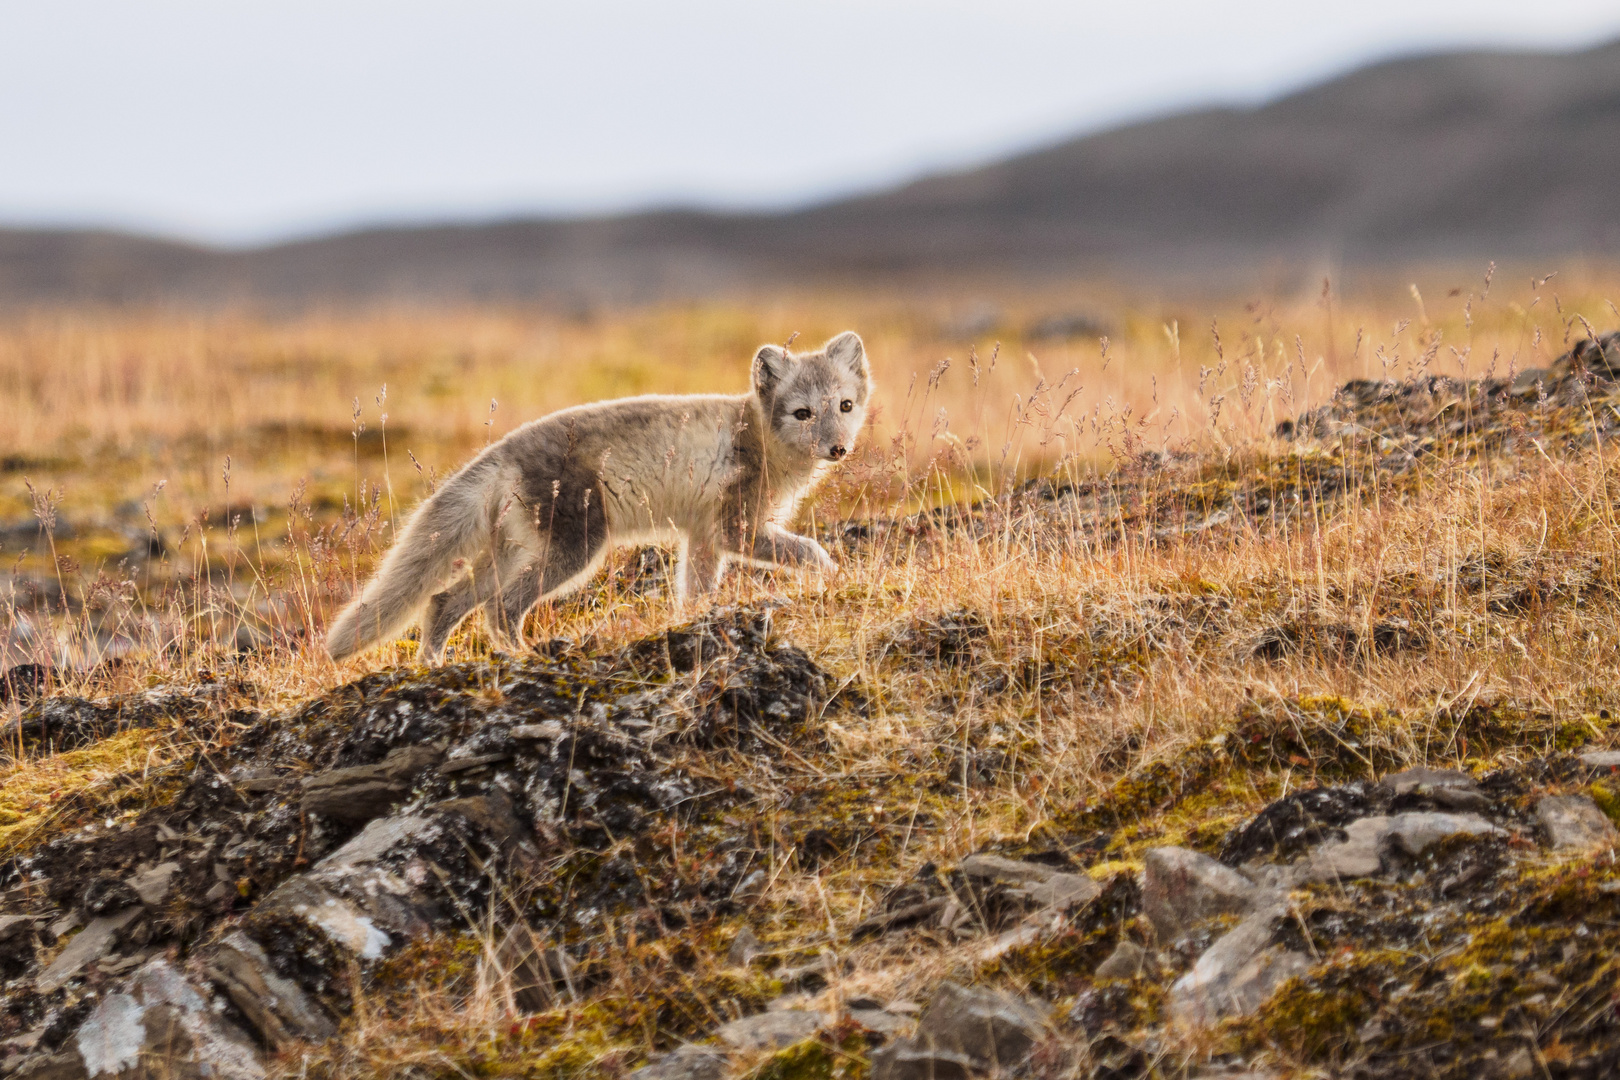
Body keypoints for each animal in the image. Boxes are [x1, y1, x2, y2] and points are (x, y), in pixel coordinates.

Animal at [320, 333, 868, 663]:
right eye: (802, 413)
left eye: (844, 406)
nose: (838, 448)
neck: (758, 436)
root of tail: (502, 453)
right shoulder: (737, 527)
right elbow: (808, 549)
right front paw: (835, 576)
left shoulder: (703, 535)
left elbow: (695, 589)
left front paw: (693, 623)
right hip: (575, 548)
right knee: (499, 607)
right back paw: (523, 656)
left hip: (511, 552)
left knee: (443, 601)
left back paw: (434, 663)